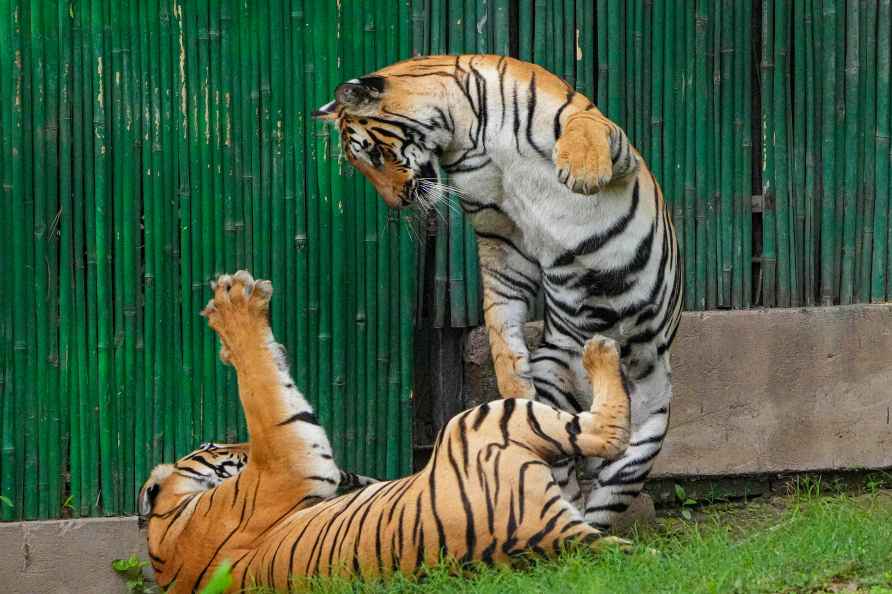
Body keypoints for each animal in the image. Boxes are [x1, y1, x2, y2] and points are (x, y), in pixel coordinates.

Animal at [139, 270, 632, 588]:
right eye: (212, 444)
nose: (235, 441)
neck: (170, 538)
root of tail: (553, 539)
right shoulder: (286, 460)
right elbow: (260, 386)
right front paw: (235, 310)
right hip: (486, 419)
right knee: (604, 432)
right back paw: (600, 350)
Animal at [316, 54, 684, 528]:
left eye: (375, 153)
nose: (398, 202)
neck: (468, 133)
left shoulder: (610, 142)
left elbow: (584, 126)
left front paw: (581, 171)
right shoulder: (502, 232)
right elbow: (499, 318)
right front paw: (511, 379)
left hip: (648, 428)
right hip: (552, 383)